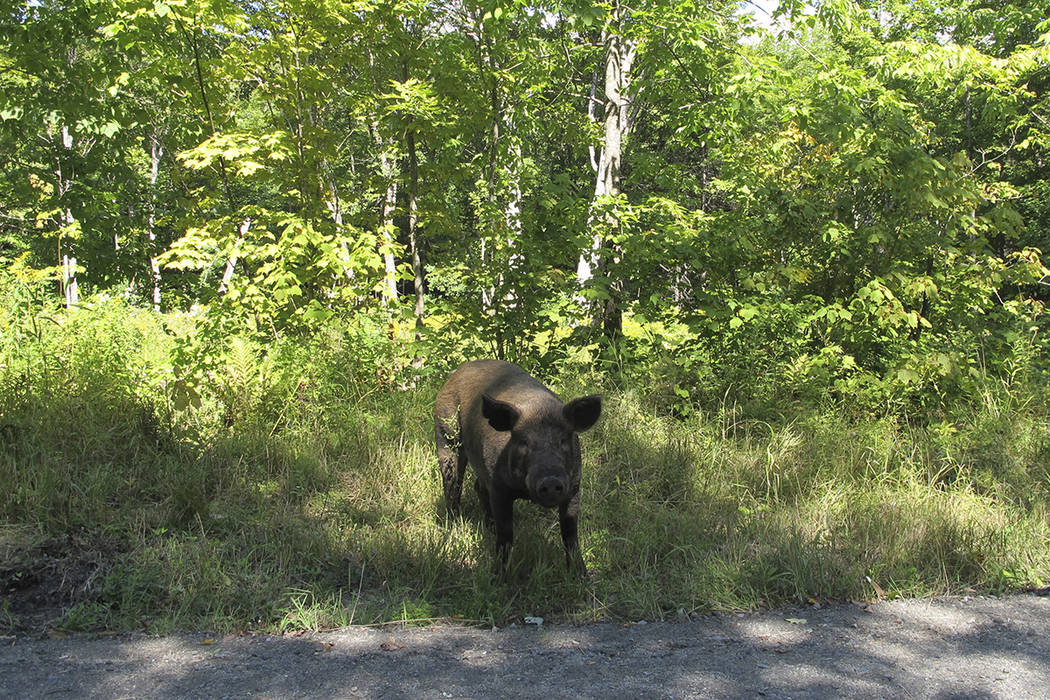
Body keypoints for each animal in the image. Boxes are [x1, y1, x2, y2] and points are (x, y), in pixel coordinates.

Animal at [432, 358, 600, 579]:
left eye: (563, 440)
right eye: (523, 441)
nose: (550, 480)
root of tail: (455, 373)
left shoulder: (574, 487)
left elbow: (570, 532)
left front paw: (581, 576)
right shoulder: (499, 488)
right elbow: (506, 534)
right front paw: (498, 577)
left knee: (478, 486)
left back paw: (488, 527)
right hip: (446, 433)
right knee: (452, 482)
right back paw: (453, 525)